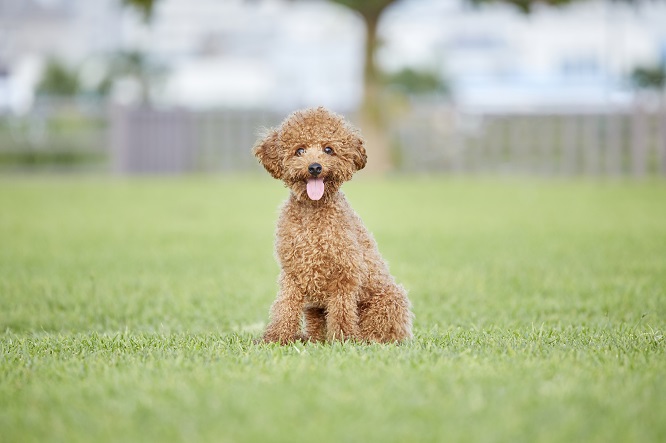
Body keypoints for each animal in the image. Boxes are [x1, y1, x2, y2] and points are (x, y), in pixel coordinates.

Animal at [253, 106, 412, 344]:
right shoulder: (292, 273)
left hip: (389, 301)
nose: (315, 167)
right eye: (300, 150)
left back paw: (363, 339)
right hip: (314, 310)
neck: (313, 212)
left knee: (378, 331)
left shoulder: (345, 274)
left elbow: (341, 311)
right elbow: (285, 306)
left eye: (329, 149)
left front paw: (343, 340)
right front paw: (277, 337)